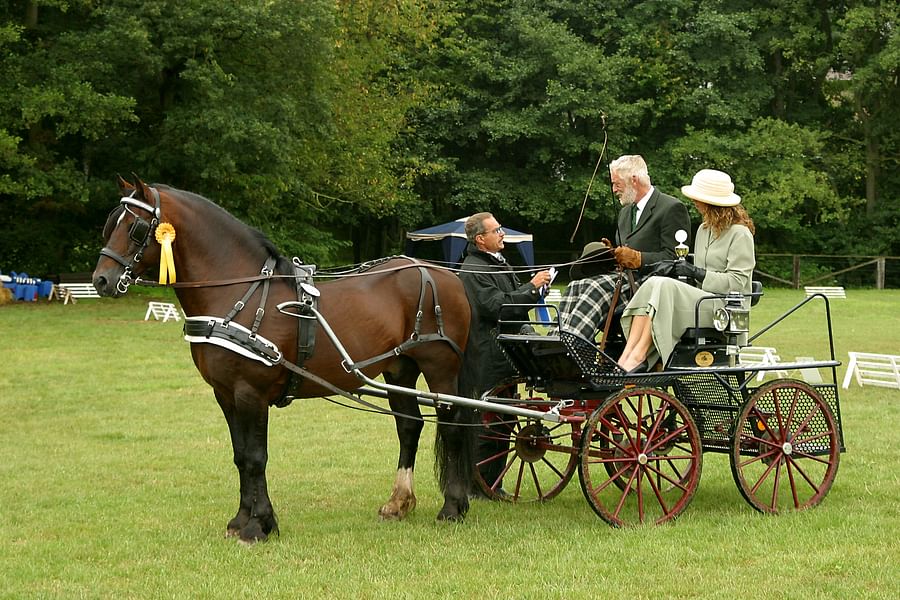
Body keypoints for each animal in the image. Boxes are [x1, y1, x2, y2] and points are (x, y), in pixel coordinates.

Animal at [92, 175, 473, 543]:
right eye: (111, 224)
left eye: (135, 227)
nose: (101, 280)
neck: (239, 294)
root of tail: (441, 273)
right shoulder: (225, 394)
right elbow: (240, 456)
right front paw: (241, 521)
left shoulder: (251, 392)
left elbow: (256, 457)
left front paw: (259, 526)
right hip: (399, 369)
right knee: (409, 426)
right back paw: (398, 502)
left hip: (440, 367)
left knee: (452, 425)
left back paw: (453, 507)